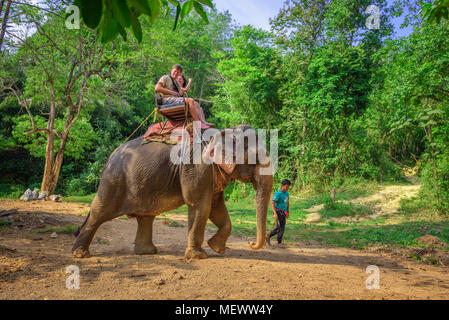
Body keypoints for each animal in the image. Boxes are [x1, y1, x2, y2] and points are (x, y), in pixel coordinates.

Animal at [72, 123, 272, 260]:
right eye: (256, 157)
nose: (251, 243)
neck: (220, 133)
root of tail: (111, 155)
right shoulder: (197, 168)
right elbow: (200, 206)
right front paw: (199, 256)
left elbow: (216, 207)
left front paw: (216, 248)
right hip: (113, 181)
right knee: (99, 213)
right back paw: (80, 254)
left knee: (145, 216)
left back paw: (148, 252)